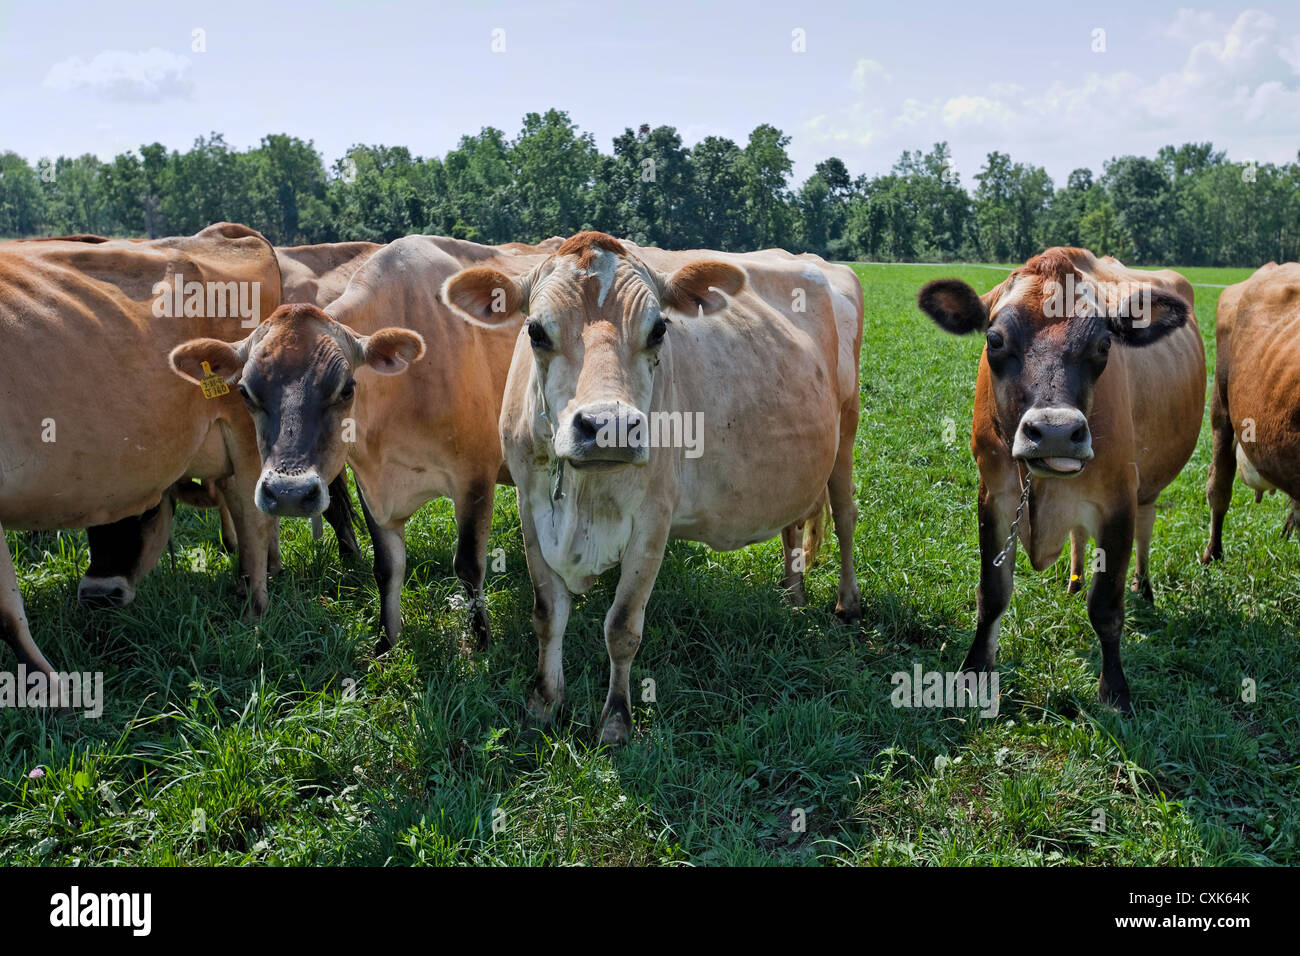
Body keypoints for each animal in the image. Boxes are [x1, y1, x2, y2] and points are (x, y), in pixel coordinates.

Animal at [0, 221, 282, 681]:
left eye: (148, 512)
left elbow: (6, 612)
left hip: (244, 433)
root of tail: (221, 232)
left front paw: (51, 686)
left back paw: (255, 608)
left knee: (254, 518)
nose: (99, 596)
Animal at [439, 234, 863, 749]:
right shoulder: (531, 507)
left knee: (845, 518)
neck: (586, 496)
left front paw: (616, 721)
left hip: (846, 430)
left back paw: (848, 603)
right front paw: (543, 702)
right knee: (794, 524)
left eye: (659, 329)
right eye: (536, 331)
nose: (608, 426)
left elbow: (622, 627)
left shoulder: (653, 520)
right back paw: (793, 594)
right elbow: (547, 613)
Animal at [915, 251, 1206, 712]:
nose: (1054, 432)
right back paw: (1073, 580)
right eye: (994, 339)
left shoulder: (1117, 501)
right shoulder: (993, 495)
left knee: (1147, 524)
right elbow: (992, 593)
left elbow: (1106, 607)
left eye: (1105, 344)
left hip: (1148, 485)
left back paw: (1143, 586)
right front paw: (973, 673)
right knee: (1077, 537)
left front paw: (1115, 690)